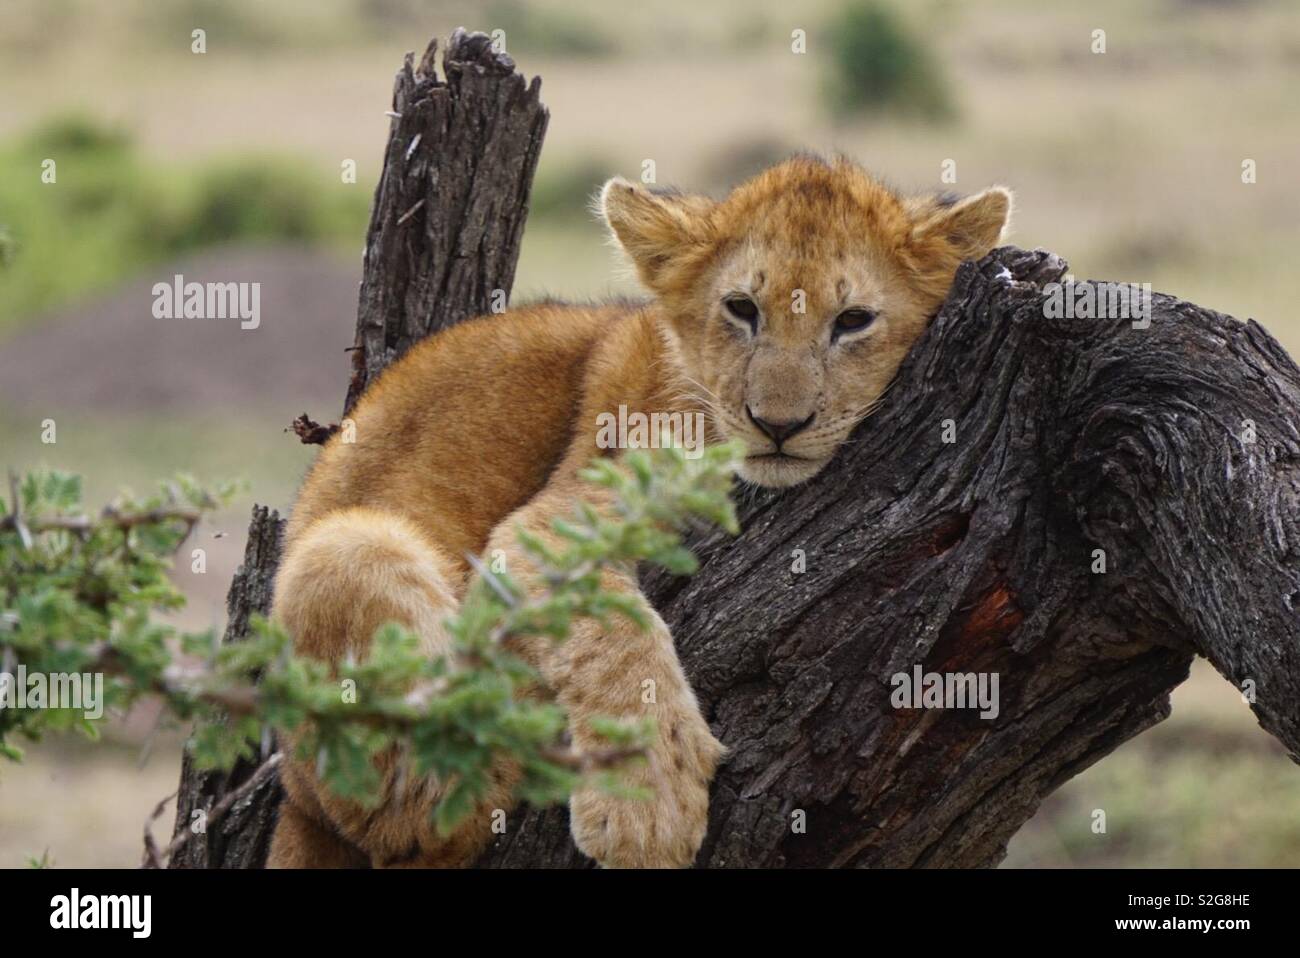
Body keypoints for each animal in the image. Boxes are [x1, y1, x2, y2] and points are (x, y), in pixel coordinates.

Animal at [266, 155, 1012, 868]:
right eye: (742, 309)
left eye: (853, 321)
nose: (778, 424)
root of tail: (294, 799)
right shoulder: (556, 518)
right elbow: (615, 641)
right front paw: (646, 809)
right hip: (347, 550)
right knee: (426, 823)